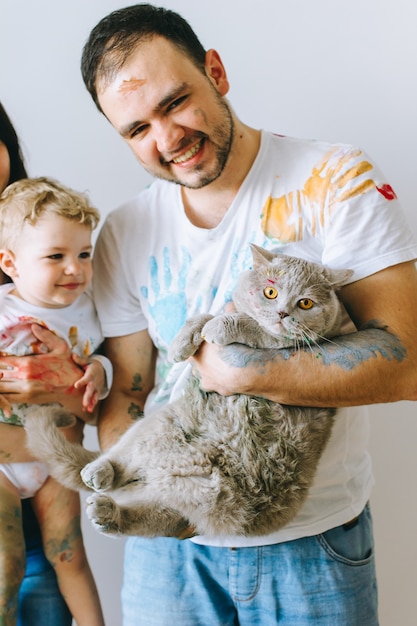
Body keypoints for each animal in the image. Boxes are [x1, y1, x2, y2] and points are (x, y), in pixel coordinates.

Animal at [25, 244, 352, 536]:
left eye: (306, 303)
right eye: (270, 292)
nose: (283, 313)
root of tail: (160, 472)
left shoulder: (313, 343)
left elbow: (259, 330)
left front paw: (222, 327)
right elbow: (203, 315)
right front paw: (182, 345)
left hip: (187, 504)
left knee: (146, 517)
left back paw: (107, 512)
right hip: (156, 425)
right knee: (120, 456)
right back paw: (99, 472)